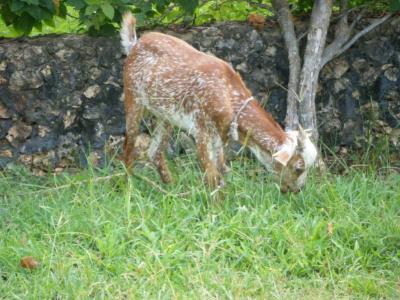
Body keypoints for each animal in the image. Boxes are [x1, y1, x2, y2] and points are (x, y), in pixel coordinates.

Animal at [120, 12, 318, 192]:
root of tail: (134, 44)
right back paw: (129, 189)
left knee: (154, 152)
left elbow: (221, 171)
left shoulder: (219, 136)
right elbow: (211, 175)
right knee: (128, 148)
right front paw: (214, 206)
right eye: (298, 168)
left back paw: (171, 190)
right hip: (133, 98)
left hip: (165, 115)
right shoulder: (200, 128)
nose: (297, 190)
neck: (228, 94)